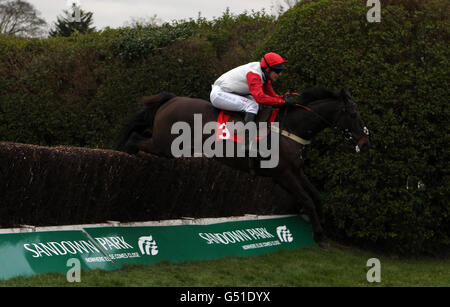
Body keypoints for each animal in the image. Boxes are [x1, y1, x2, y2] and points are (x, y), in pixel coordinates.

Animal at [115, 87, 370, 250]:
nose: (365, 141)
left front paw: (320, 224)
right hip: (165, 145)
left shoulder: (296, 170)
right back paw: (125, 152)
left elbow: (316, 196)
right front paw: (320, 236)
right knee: (136, 139)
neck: (289, 128)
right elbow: (307, 199)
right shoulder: (282, 174)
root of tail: (171, 99)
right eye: (354, 114)